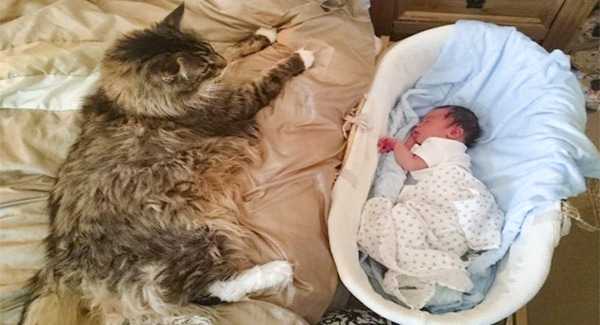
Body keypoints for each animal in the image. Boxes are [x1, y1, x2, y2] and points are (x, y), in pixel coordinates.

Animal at [17, 4, 314, 324]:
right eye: (204, 68)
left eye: (209, 51)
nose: (218, 64)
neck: (126, 103)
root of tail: (59, 264)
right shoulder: (234, 105)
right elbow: (268, 78)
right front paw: (300, 57)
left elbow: (234, 48)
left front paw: (262, 35)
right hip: (191, 236)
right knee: (208, 288)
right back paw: (278, 270)